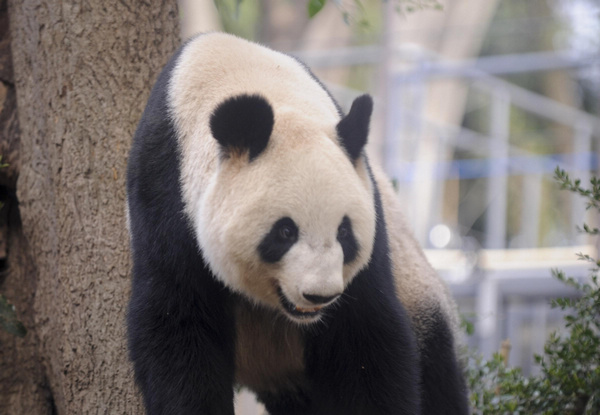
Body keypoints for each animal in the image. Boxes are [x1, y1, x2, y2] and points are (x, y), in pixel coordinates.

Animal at [124, 32, 466, 415]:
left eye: (344, 232)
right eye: (285, 232)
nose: (320, 295)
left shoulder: (370, 216)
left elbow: (365, 339)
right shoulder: (165, 194)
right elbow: (180, 325)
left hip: (415, 285)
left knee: (436, 370)